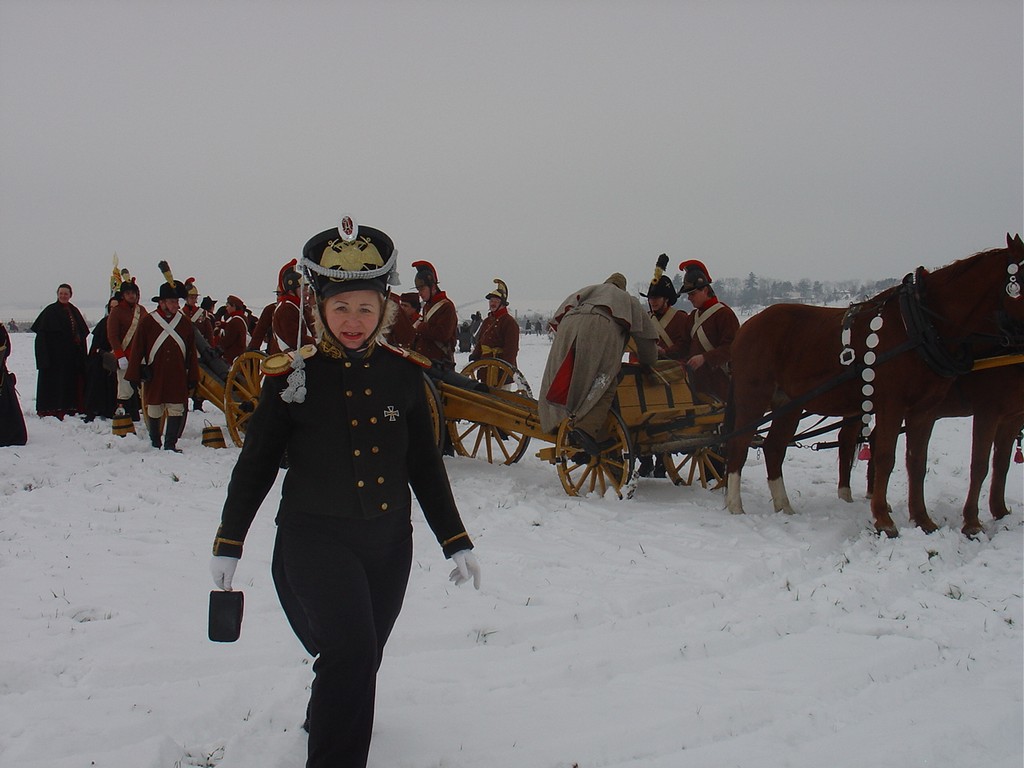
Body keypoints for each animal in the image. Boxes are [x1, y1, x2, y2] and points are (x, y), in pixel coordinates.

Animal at [836, 363, 1024, 536]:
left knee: (871, 439)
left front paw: (1000, 511)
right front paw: (972, 522)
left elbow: (1001, 465)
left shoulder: (1012, 417)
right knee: (847, 438)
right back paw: (846, 493)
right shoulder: (987, 410)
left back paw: (870, 491)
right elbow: (979, 467)